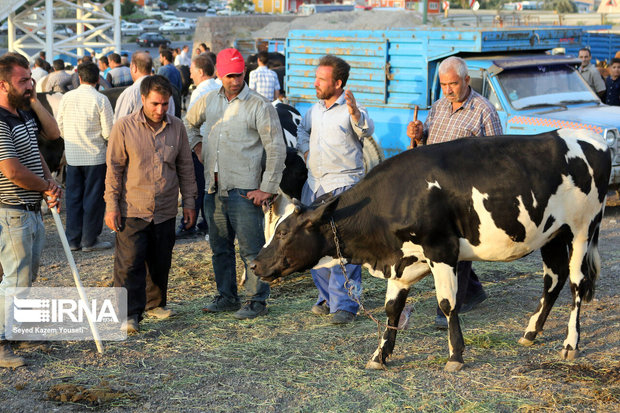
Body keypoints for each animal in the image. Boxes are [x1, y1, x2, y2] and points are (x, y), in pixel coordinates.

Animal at [252, 128, 612, 370]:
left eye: (283, 232)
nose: (255, 264)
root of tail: (593, 139)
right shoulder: (402, 263)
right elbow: (392, 310)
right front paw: (380, 356)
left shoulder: (442, 250)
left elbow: (448, 303)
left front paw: (455, 355)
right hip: (551, 235)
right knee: (553, 280)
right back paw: (531, 332)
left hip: (583, 229)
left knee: (577, 284)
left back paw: (570, 343)